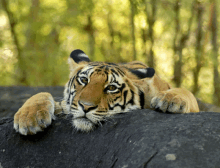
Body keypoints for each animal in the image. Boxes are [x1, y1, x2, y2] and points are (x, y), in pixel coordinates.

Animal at [13, 49, 199, 135]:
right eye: (84, 80)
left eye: (111, 88)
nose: (86, 107)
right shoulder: (66, 104)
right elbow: (42, 94)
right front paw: (28, 119)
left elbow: (187, 92)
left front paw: (170, 99)